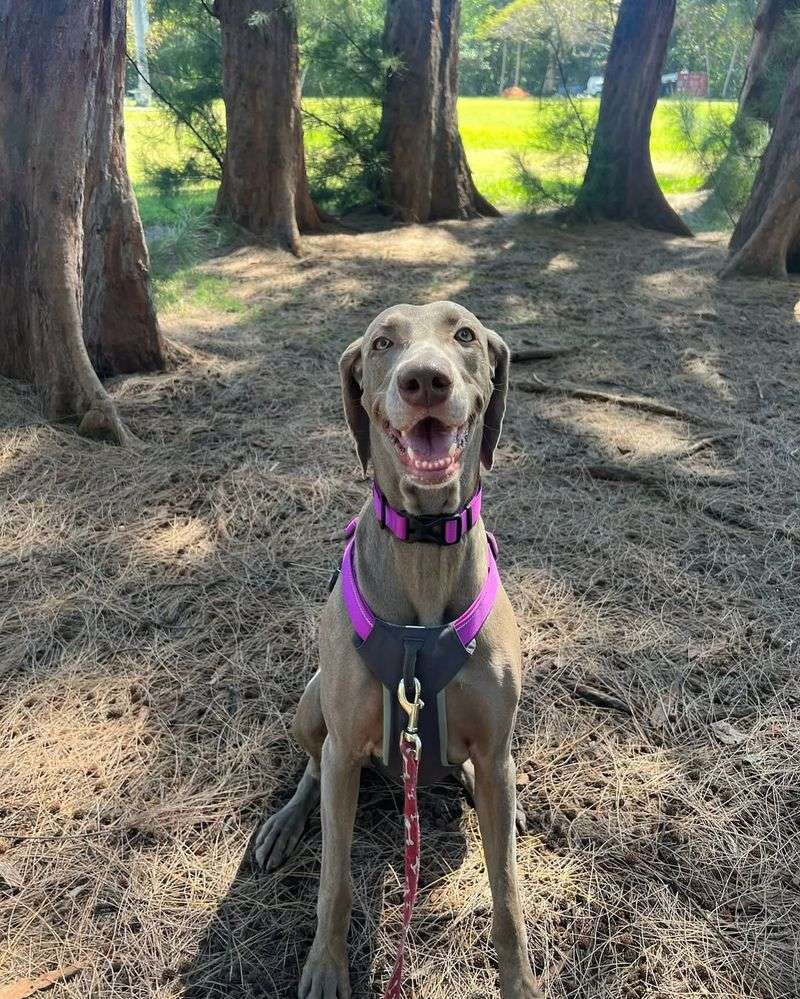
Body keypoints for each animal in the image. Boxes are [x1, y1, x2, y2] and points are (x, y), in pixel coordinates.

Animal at [255, 300, 544, 996]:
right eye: (382, 343)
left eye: (464, 334)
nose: (424, 382)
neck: (425, 539)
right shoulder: (343, 746)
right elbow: (334, 880)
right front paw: (327, 967)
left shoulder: (494, 744)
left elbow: (508, 894)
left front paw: (519, 980)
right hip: (311, 707)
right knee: (313, 768)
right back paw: (285, 823)